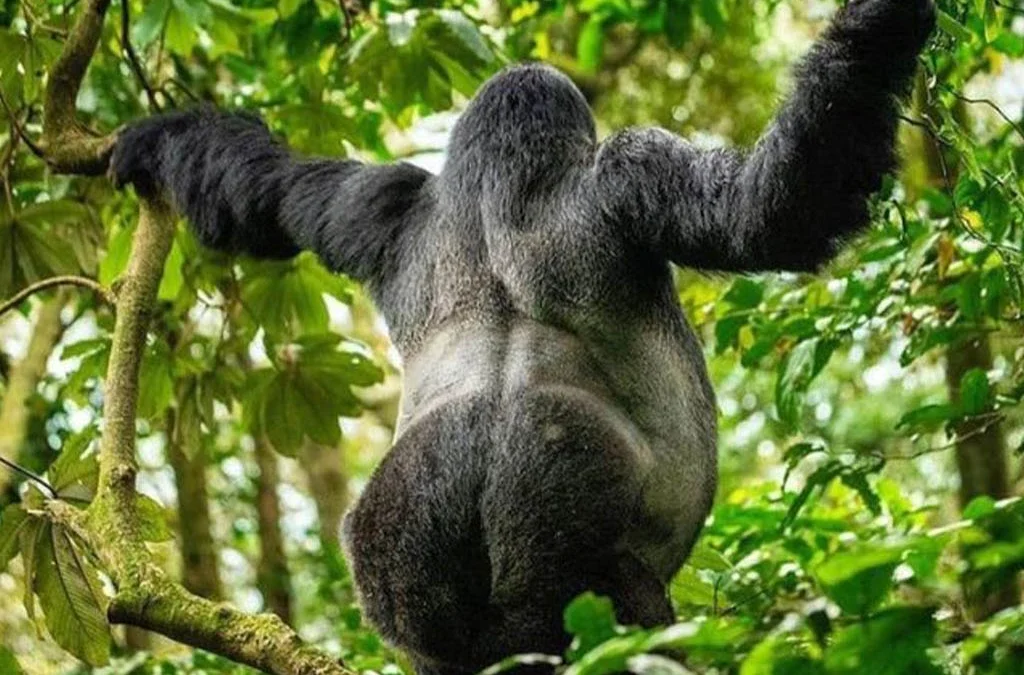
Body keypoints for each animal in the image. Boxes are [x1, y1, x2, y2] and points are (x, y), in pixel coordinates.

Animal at [110, 0, 936, 672]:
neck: (492, 184)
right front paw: (881, 24)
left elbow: (270, 193)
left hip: (404, 544)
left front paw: (157, 138)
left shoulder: (384, 200)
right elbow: (779, 209)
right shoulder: (628, 168)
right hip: (570, 534)